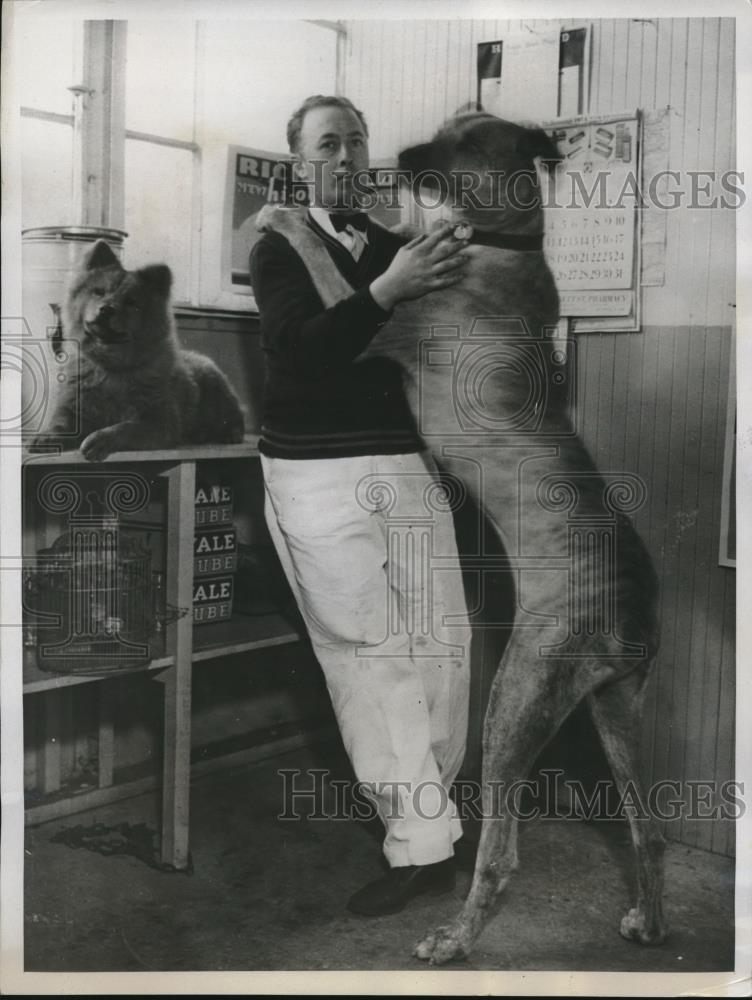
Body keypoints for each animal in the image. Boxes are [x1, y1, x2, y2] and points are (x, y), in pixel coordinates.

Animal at [30, 240, 244, 462]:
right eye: (99, 292)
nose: (106, 308)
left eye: (131, 302)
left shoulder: (160, 420)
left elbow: (126, 428)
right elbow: (61, 423)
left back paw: (228, 434)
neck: (110, 366)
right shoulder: (73, 405)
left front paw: (100, 439)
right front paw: (47, 436)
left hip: (217, 390)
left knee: (236, 417)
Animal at [256, 113, 668, 964]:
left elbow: (326, 263)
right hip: (618, 709)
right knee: (647, 827)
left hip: (516, 695)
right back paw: (646, 919)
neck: (505, 240)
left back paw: (453, 938)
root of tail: (632, 611)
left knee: (502, 855)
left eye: (469, 140)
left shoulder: (376, 323)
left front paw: (284, 216)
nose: (405, 157)